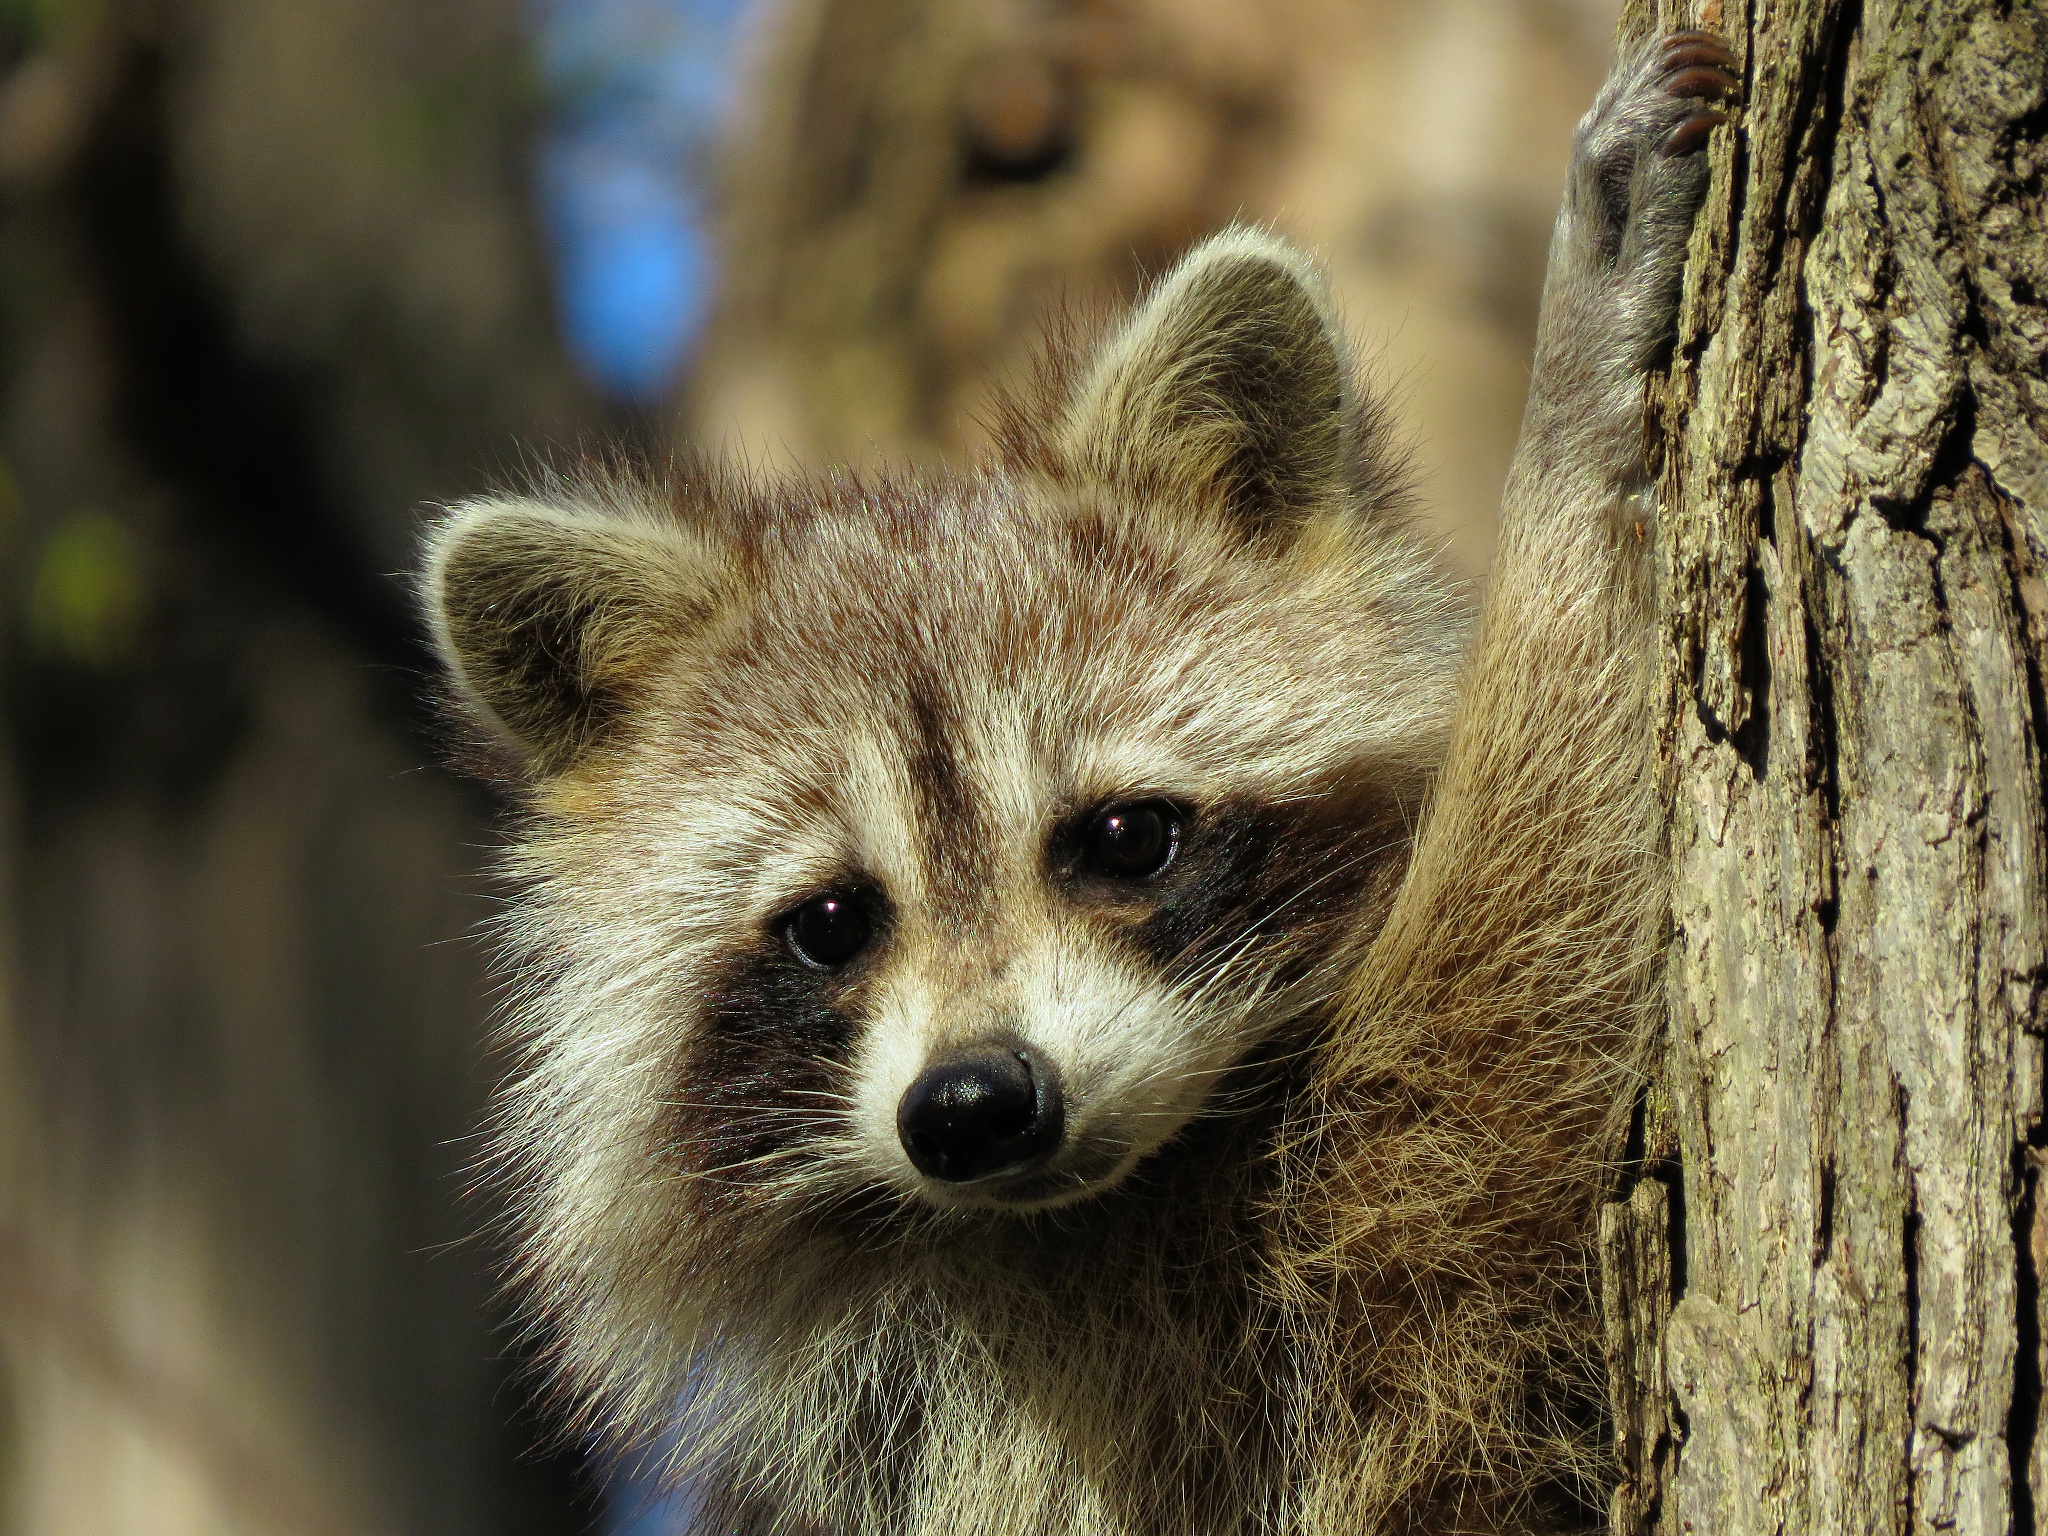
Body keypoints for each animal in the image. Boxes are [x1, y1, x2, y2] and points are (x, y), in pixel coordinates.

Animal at [423, 30, 1736, 1536]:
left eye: (1123, 837)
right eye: (831, 922)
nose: (974, 1105)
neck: (1116, 1193)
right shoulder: (1135, 1376)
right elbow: (1510, 1069)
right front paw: (1569, 445)